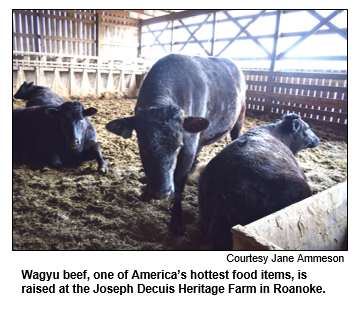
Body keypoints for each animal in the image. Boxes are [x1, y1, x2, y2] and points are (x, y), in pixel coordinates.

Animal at [106, 54, 246, 232]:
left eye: (178, 147)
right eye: (143, 147)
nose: (162, 192)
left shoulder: (189, 145)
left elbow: (179, 180)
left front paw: (177, 221)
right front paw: (146, 193)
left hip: (239, 118)